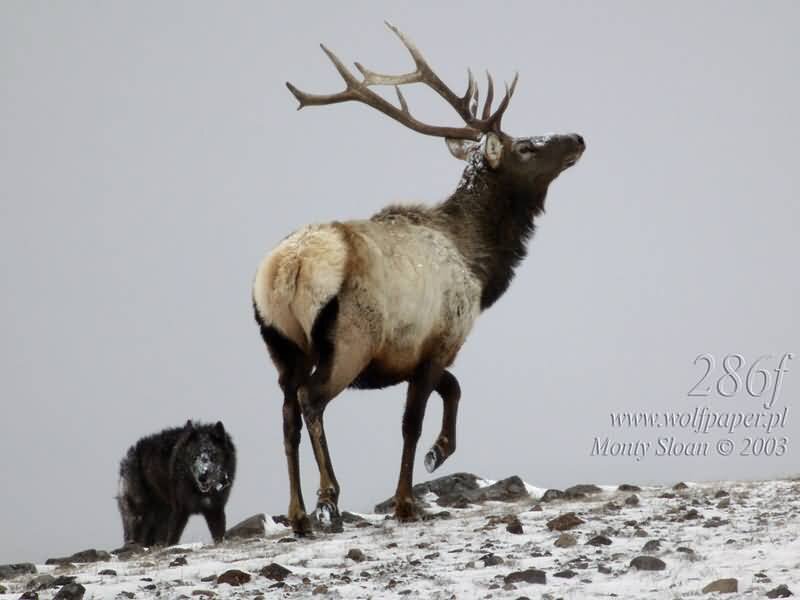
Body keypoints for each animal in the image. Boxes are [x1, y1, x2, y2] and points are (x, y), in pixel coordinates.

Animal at [253, 23, 585, 535]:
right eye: (526, 147)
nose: (578, 138)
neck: (482, 269)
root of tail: (291, 266)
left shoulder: (409, 354)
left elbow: (453, 388)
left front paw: (439, 453)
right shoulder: (442, 336)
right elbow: (414, 419)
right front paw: (408, 500)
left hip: (281, 344)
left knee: (287, 412)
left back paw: (297, 515)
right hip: (348, 340)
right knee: (311, 400)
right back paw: (328, 501)